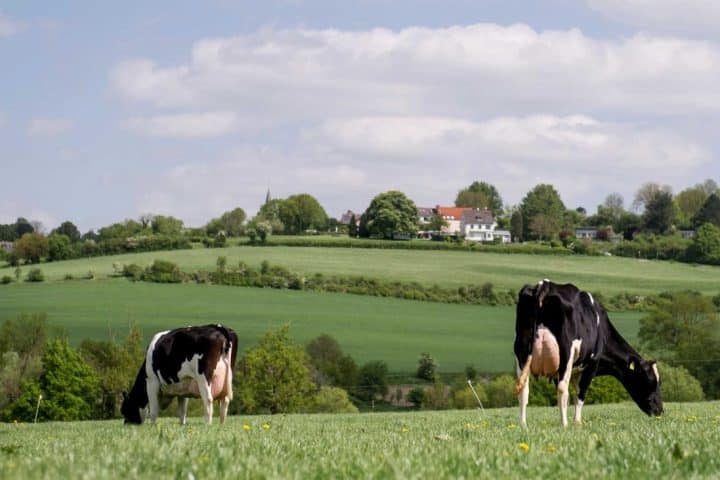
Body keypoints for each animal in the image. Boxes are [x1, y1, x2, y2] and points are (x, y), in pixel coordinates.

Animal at [516, 280, 660, 426]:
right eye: (650, 381)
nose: (659, 410)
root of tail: (544, 285)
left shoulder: (570, 371)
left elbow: (571, 396)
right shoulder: (592, 363)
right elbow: (581, 394)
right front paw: (577, 422)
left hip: (521, 350)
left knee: (524, 388)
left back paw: (523, 425)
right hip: (566, 352)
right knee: (562, 389)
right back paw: (564, 425)